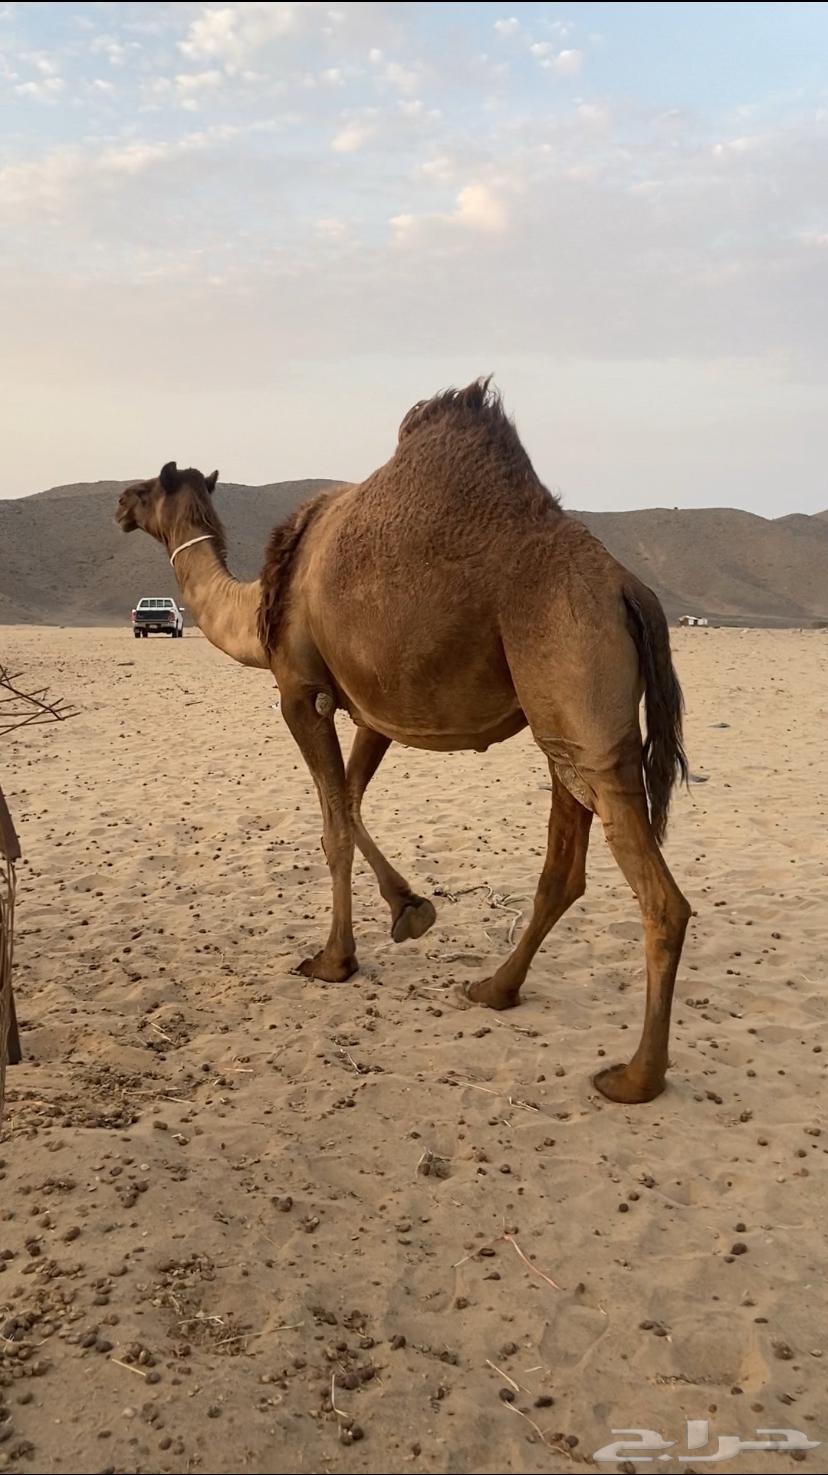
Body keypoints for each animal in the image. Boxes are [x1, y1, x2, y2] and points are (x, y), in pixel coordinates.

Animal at [116, 379, 690, 1105]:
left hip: (582, 703)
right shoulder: (373, 710)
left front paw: (334, 960)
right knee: (563, 869)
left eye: (147, 487)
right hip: (566, 731)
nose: (118, 502)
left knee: (661, 899)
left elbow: (333, 824)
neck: (261, 602)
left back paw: (636, 1075)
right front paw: (411, 909)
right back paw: (494, 988)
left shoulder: (299, 690)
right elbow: (352, 803)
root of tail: (627, 587)